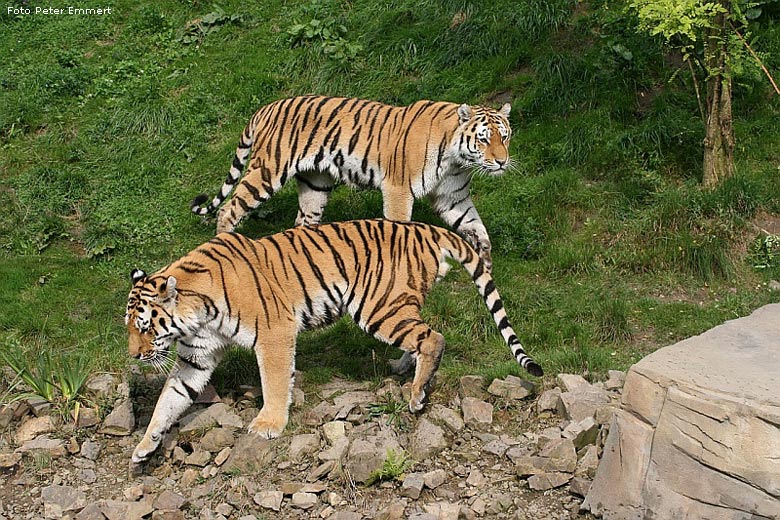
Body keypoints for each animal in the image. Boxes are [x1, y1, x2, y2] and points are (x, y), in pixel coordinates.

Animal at [126, 219, 544, 464]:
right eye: (129, 326)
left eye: (145, 326)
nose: (133, 356)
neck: (196, 313)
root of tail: (425, 228)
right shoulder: (195, 358)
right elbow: (169, 400)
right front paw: (145, 445)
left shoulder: (275, 333)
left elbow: (273, 381)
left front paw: (268, 424)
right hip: (395, 307)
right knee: (419, 335)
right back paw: (403, 370)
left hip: (377, 307)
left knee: (433, 337)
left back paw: (416, 394)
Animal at [192, 94, 516, 272]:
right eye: (484, 139)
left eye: (505, 136)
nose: (502, 161)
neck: (456, 159)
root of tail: (266, 108)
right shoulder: (398, 190)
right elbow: (400, 227)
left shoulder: (453, 198)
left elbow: (477, 228)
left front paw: (486, 263)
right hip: (267, 172)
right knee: (230, 209)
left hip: (316, 184)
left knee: (302, 222)